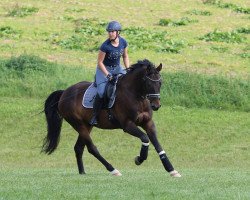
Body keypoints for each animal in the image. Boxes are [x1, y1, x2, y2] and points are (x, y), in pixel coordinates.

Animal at [42, 58, 181, 177]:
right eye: (147, 83)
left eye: (160, 83)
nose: (156, 105)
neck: (136, 96)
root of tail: (64, 93)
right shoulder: (127, 125)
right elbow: (145, 138)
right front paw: (139, 159)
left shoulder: (148, 123)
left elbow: (158, 145)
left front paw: (171, 170)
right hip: (78, 124)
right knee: (92, 148)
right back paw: (113, 170)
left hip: (87, 125)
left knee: (79, 148)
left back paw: (82, 172)